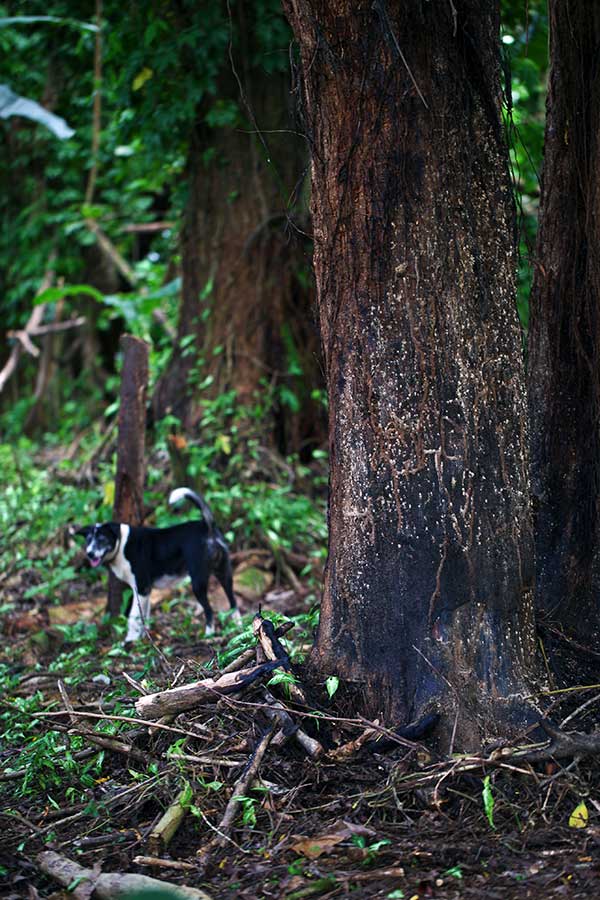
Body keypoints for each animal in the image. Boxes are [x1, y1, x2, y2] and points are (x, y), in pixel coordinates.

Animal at [76, 488, 240, 644]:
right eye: (88, 540)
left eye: (102, 539)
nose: (90, 553)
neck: (121, 544)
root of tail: (207, 526)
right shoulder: (147, 591)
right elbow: (145, 616)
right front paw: (145, 637)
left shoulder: (141, 588)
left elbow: (133, 617)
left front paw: (131, 639)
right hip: (225, 574)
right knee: (233, 603)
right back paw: (238, 627)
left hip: (198, 583)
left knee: (209, 610)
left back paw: (209, 635)